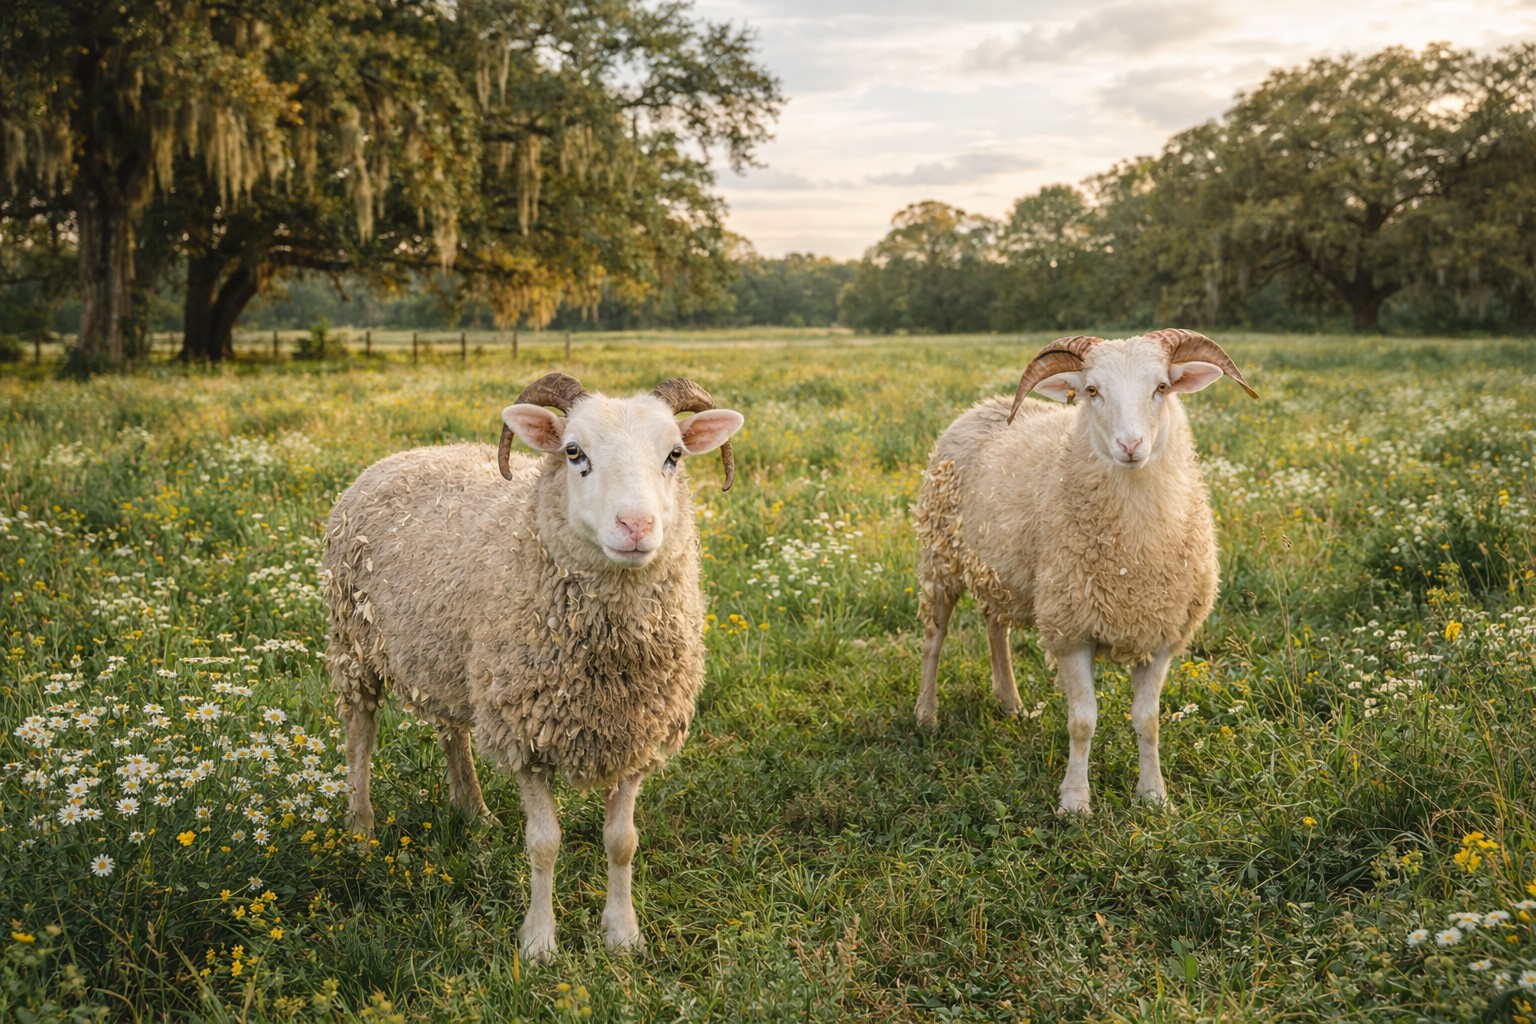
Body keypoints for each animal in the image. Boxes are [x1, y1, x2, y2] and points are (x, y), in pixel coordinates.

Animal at [320, 373, 743, 960]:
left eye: (674, 455)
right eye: (574, 453)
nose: (635, 525)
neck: (608, 661)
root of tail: (409, 452)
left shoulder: (636, 732)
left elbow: (622, 843)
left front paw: (623, 934)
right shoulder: (526, 735)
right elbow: (544, 844)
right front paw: (539, 942)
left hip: (457, 661)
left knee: (453, 731)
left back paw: (473, 811)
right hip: (354, 645)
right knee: (359, 735)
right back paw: (361, 835)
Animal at [912, 329, 1257, 814]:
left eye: (1162, 387)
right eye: (1092, 391)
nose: (1130, 446)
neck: (1133, 556)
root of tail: (985, 404)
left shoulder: (1162, 633)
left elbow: (1148, 721)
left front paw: (1154, 796)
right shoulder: (1071, 628)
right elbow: (1083, 722)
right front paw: (1075, 801)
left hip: (1003, 572)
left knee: (996, 628)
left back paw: (1010, 703)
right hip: (940, 558)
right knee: (934, 639)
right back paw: (927, 715)